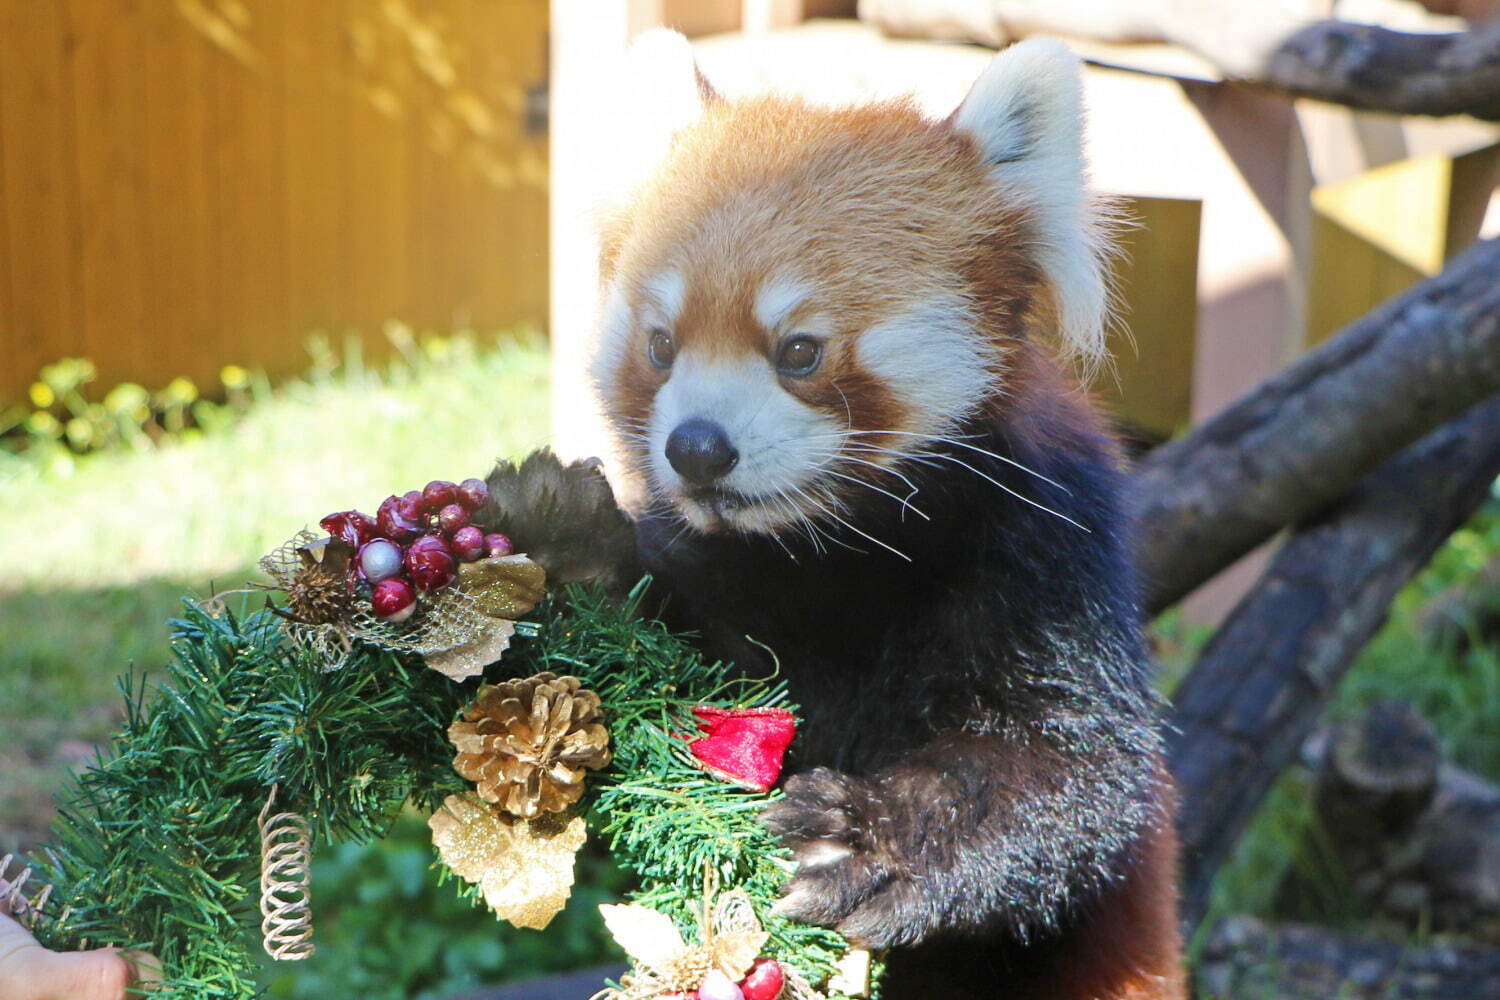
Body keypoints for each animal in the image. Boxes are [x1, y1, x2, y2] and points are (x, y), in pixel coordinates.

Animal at [585, 31, 1182, 1000]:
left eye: (799, 351)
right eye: (661, 345)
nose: (698, 449)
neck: (835, 546)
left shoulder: (1050, 551)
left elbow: (1076, 773)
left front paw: (864, 841)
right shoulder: (714, 575)